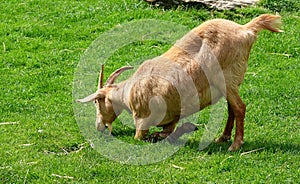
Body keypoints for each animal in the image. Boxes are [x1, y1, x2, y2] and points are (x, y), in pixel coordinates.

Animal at [77, 14, 282, 151]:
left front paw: (187, 128)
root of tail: (245, 30)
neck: (129, 92)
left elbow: (144, 138)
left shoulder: (143, 120)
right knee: (232, 108)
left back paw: (235, 144)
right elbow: (167, 132)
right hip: (230, 84)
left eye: (97, 102)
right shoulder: (171, 117)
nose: (99, 127)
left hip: (226, 79)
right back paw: (223, 138)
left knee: (240, 107)